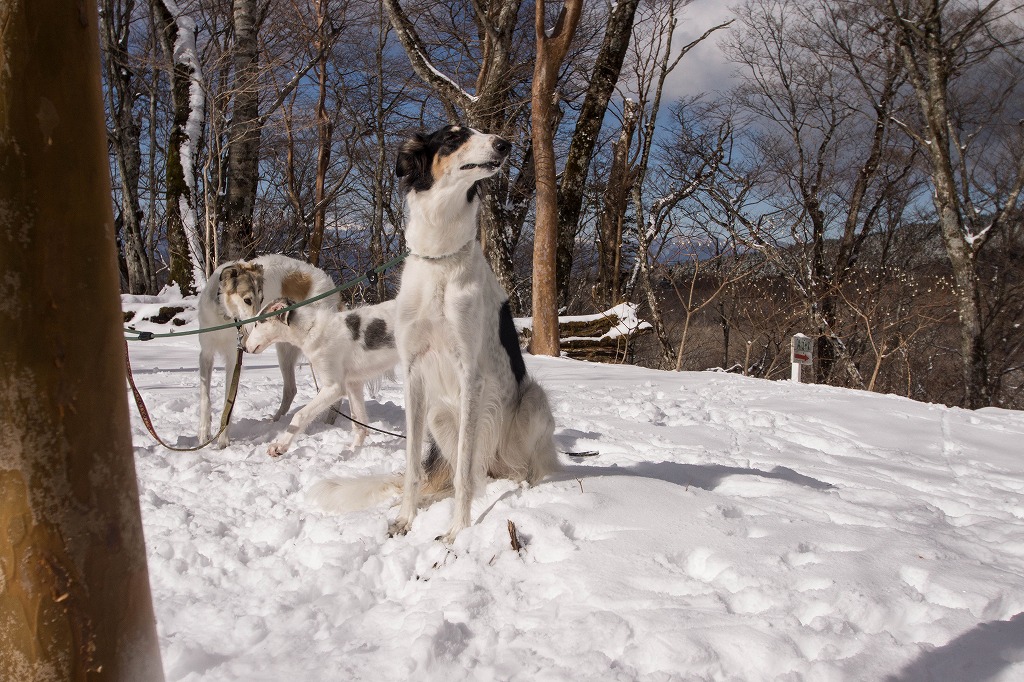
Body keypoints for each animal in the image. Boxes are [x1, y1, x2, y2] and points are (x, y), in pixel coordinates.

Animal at [198, 254, 339, 446]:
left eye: (262, 298)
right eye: (247, 300)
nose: (251, 333)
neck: (225, 317)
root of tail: (331, 286)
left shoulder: (234, 359)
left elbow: (229, 401)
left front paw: (223, 440)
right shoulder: (206, 353)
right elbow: (205, 398)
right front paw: (204, 434)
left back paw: (330, 421)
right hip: (285, 350)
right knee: (291, 389)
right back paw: (275, 421)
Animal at [242, 296, 395, 456]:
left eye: (257, 324)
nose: (243, 347)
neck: (310, 329)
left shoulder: (334, 387)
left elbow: (300, 415)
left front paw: (280, 445)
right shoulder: (353, 384)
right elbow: (359, 426)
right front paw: (353, 451)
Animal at [309, 123, 561, 536]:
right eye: (454, 137)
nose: (504, 144)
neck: (440, 259)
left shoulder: (470, 375)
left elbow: (462, 477)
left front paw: (458, 533)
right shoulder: (413, 372)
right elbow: (413, 465)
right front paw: (406, 518)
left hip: (532, 401)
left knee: (511, 468)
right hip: (439, 415)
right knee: (473, 473)